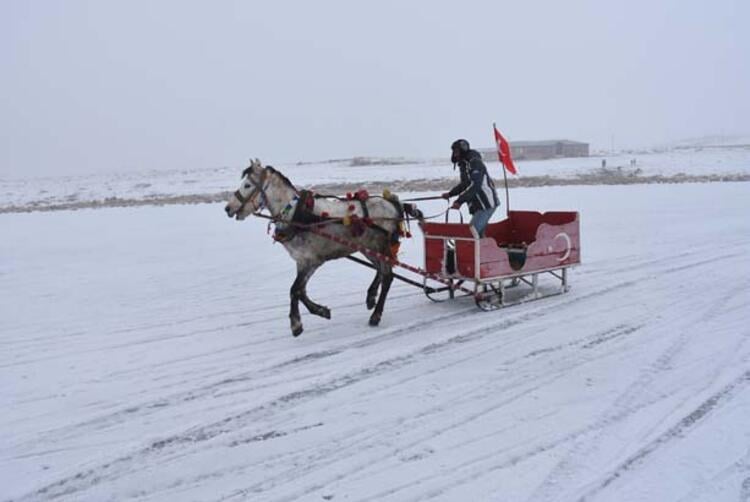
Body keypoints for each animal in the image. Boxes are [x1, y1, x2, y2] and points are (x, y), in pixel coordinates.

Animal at [226, 157, 420, 338]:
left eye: (247, 185)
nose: (227, 208)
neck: (297, 215)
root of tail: (393, 203)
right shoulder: (302, 261)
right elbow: (301, 291)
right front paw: (321, 311)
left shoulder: (312, 260)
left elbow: (294, 290)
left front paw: (296, 324)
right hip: (369, 247)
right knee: (381, 270)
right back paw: (371, 297)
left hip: (381, 246)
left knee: (388, 276)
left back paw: (376, 315)